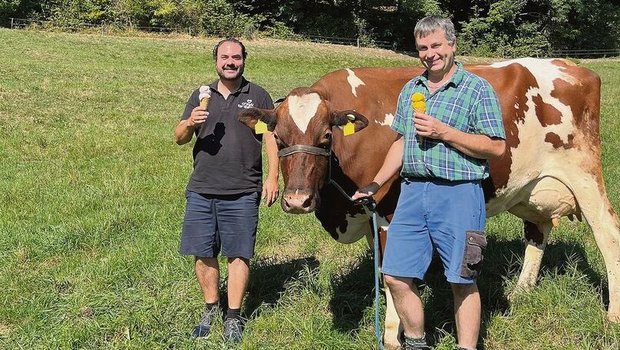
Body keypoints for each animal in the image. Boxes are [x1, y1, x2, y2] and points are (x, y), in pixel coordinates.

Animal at [239, 57, 620, 348]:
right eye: (278, 138)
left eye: (325, 137)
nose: (297, 200)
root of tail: (572, 67)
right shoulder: (368, 213)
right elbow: (383, 270)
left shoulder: (389, 213)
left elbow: (392, 274)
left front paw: (392, 336)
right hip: (529, 187)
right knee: (539, 229)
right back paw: (521, 291)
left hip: (584, 173)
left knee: (608, 235)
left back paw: (613, 315)